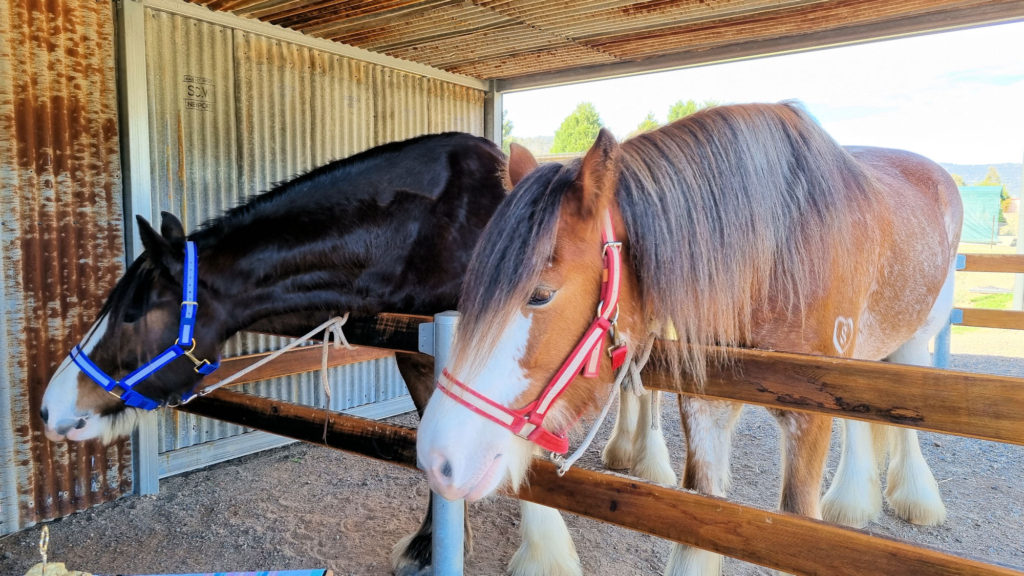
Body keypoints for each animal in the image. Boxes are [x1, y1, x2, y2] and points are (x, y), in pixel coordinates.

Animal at [415, 104, 958, 573]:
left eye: (541, 295)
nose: (438, 460)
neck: (778, 253)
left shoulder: (809, 415)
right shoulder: (706, 405)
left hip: (909, 344)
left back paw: (914, 498)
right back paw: (853, 502)